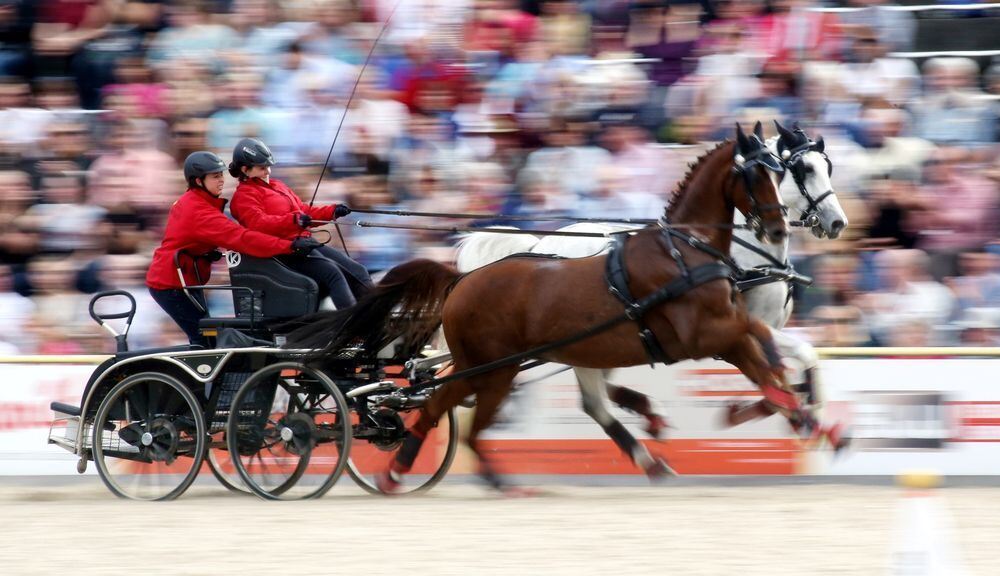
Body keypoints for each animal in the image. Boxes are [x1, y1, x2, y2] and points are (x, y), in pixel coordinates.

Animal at [288, 124, 804, 492]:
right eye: (756, 173)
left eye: (782, 171)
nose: (779, 229)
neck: (683, 252)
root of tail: (464, 279)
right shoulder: (706, 334)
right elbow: (762, 347)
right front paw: (790, 406)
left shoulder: (725, 328)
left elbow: (764, 352)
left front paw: (793, 406)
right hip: (493, 367)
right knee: (450, 410)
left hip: (494, 367)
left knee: (442, 407)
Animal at [458, 121, 848, 476]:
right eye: (803, 169)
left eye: (828, 166)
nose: (837, 223)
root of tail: (542, 243)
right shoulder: (735, 330)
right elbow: (794, 361)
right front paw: (787, 413)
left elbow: (794, 368)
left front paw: (803, 411)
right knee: (595, 398)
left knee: (603, 390)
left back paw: (650, 417)